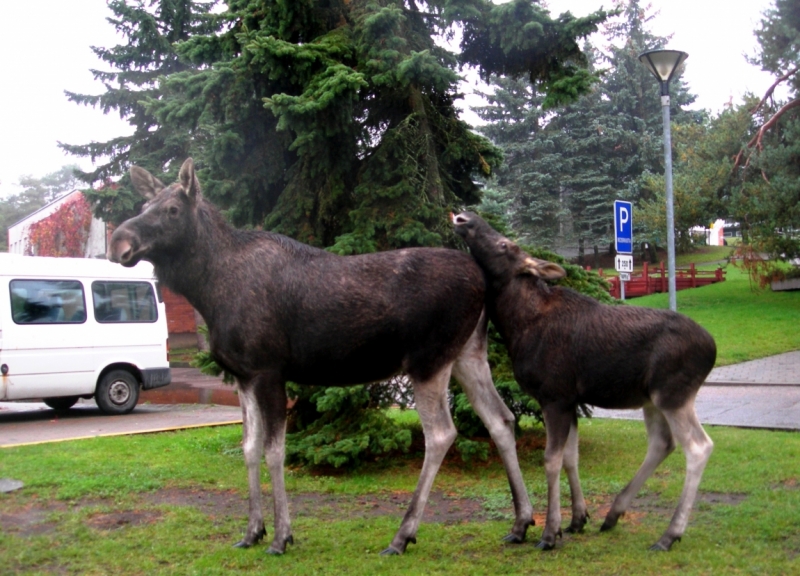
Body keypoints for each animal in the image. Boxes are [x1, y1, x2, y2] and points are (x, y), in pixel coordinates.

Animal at [104, 160, 532, 556]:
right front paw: (251, 531)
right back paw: (522, 522)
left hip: (428, 360)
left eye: (173, 209)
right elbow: (249, 447)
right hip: (467, 355)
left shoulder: (269, 369)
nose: (118, 243)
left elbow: (274, 451)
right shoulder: (243, 374)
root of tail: (483, 279)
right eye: (144, 204)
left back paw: (403, 535)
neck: (209, 290)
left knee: (442, 434)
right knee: (501, 419)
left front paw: (281, 536)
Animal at [450, 213, 720, 552]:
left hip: (672, 394)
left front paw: (549, 532)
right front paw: (578, 519)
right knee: (662, 443)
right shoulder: (571, 400)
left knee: (698, 447)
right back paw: (614, 514)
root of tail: (713, 349)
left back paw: (669, 534)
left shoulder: (554, 396)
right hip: (651, 399)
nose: (466, 218)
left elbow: (551, 460)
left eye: (504, 244)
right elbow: (571, 457)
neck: (517, 325)